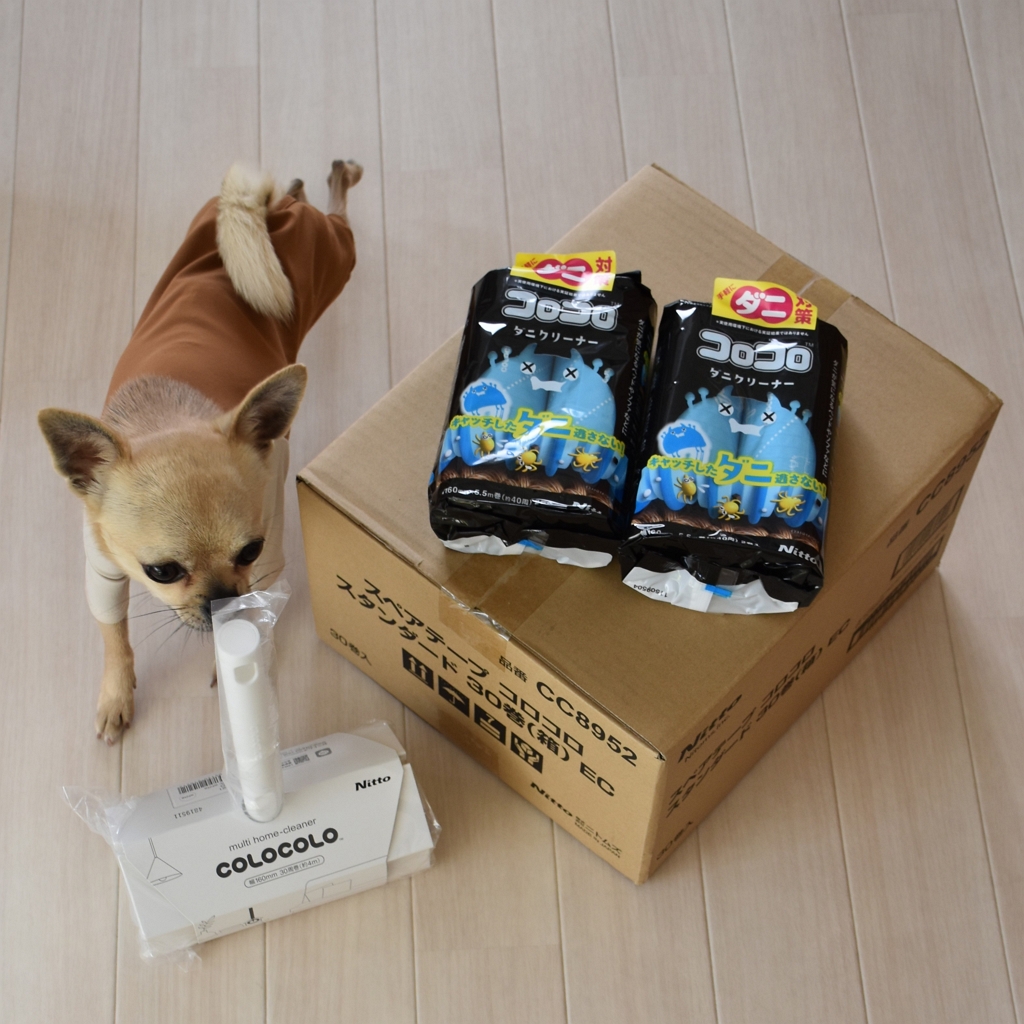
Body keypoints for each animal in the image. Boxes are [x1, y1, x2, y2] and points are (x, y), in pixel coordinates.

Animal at [39, 159, 362, 743]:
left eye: (251, 551)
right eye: (161, 572)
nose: (222, 601)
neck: (165, 417)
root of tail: (265, 210)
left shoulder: (269, 557)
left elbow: (252, 618)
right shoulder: (103, 568)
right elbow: (114, 635)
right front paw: (116, 693)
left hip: (337, 256)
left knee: (339, 212)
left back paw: (339, 174)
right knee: (296, 195)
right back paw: (299, 185)